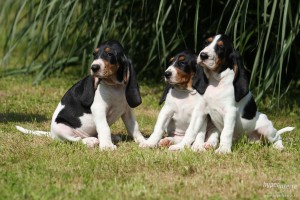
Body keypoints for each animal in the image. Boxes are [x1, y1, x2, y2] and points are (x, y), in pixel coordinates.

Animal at [16, 40, 145, 149]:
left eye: (110, 54)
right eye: (94, 54)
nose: (94, 67)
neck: (115, 86)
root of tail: (51, 134)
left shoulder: (127, 111)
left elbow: (134, 127)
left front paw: (143, 142)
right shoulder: (99, 108)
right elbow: (104, 128)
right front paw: (107, 146)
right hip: (61, 128)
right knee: (76, 139)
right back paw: (90, 141)